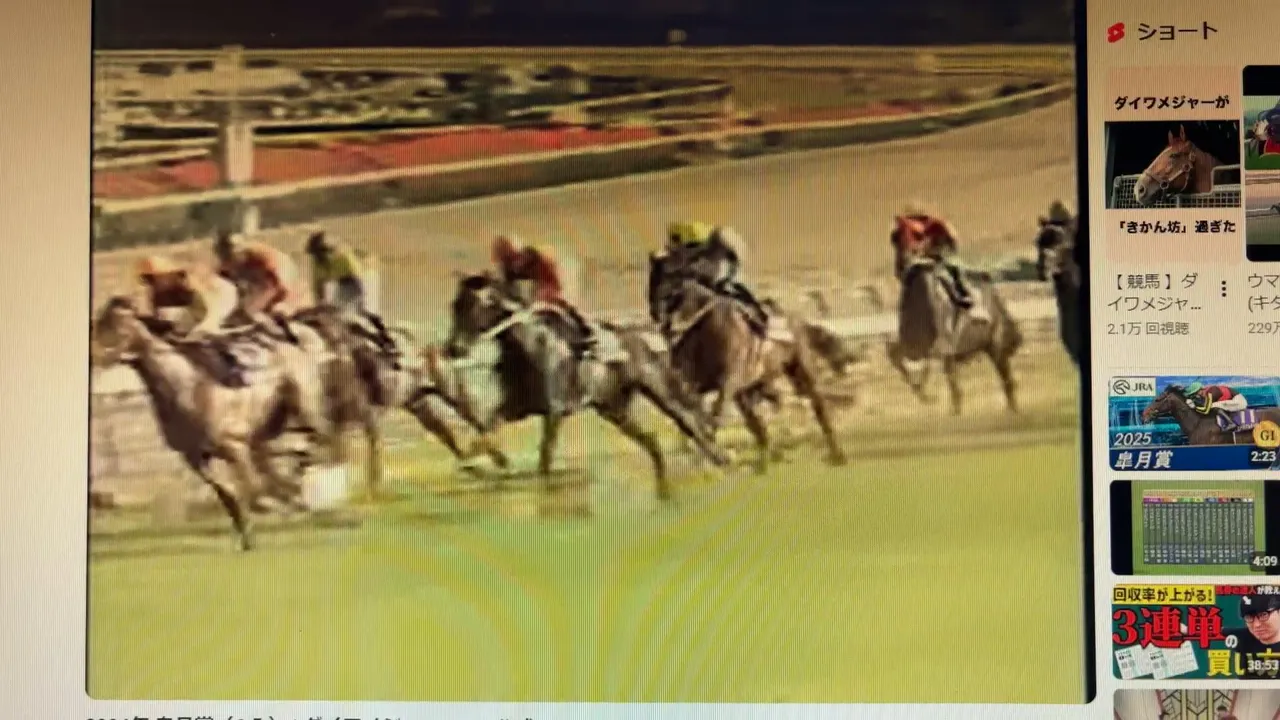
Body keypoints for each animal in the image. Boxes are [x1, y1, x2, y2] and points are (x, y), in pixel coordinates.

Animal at [90, 296, 339, 551]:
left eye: (115, 328)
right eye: (98, 323)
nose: (93, 356)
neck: (187, 387)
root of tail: (291, 340)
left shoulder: (234, 446)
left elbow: (252, 489)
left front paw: (273, 506)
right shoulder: (195, 456)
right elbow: (227, 494)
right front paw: (247, 534)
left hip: (304, 409)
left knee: (318, 439)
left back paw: (296, 489)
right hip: (266, 429)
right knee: (289, 453)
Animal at [443, 272, 730, 506]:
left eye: (477, 306)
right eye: (455, 306)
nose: (452, 349)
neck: (529, 348)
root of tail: (652, 335)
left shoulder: (554, 413)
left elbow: (544, 460)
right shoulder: (511, 410)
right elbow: (482, 437)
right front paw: (477, 465)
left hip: (661, 391)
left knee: (692, 423)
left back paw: (722, 462)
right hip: (614, 408)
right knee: (652, 441)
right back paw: (664, 494)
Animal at [647, 253, 846, 473]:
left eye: (670, 280)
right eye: (652, 281)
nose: (657, 316)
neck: (707, 329)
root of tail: (797, 321)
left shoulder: (729, 383)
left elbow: (716, 415)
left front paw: (710, 458)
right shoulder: (698, 385)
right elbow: (694, 414)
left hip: (800, 372)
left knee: (818, 408)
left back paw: (836, 455)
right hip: (758, 384)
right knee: (771, 407)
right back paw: (769, 457)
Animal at [886, 220, 1022, 415]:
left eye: (914, 237)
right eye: (895, 238)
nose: (901, 266)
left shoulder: (943, 346)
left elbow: (944, 376)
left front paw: (942, 403)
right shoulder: (913, 345)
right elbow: (899, 358)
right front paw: (926, 396)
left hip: (996, 347)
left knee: (1007, 380)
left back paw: (1012, 410)